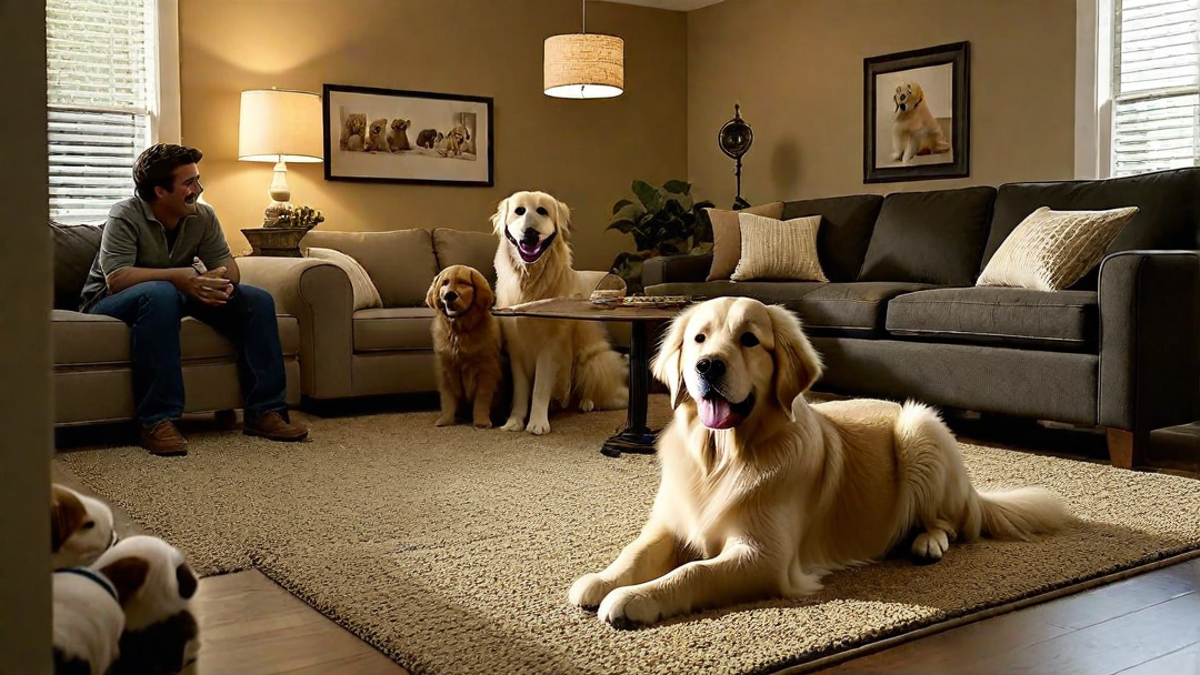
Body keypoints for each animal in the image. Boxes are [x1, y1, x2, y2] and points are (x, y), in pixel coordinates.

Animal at [427, 263, 501, 425]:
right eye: (445, 283)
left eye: (463, 282)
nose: (449, 295)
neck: (459, 332)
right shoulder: (446, 369)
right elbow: (447, 398)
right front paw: (446, 419)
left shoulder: (486, 370)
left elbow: (482, 399)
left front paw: (481, 421)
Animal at [489, 187, 628, 437]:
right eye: (519, 211)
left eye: (542, 211)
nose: (530, 233)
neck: (530, 282)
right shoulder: (516, 347)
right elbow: (521, 390)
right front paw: (515, 421)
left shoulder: (550, 346)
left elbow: (540, 388)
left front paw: (537, 423)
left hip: (591, 363)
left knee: (613, 396)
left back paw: (588, 402)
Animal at [568, 297, 1070, 624]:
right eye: (698, 338)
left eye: (749, 340)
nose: (707, 365)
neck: (723, 459)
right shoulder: (670, 524)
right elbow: (635, 551)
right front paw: (602, 580)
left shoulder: (764, 557)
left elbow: (692, 571)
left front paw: (632, 598)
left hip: (920, 428)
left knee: (952, 523)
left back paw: (927, 542)